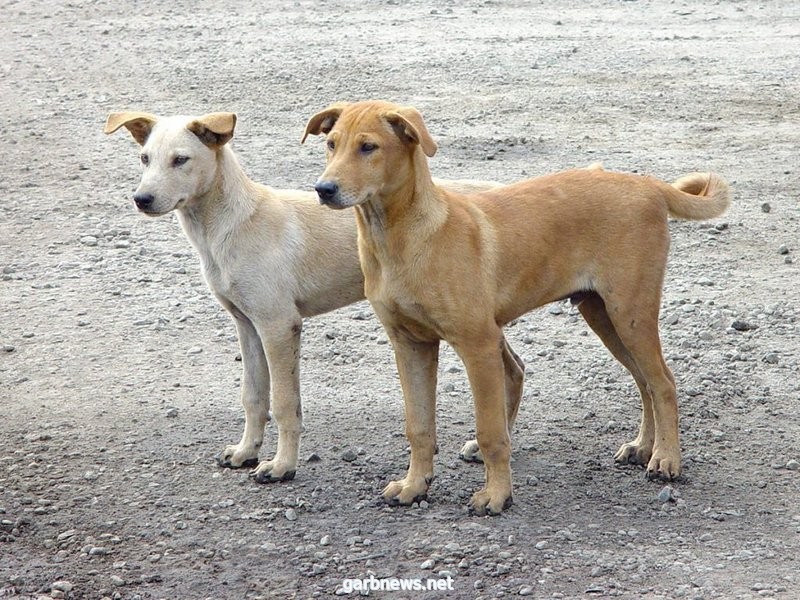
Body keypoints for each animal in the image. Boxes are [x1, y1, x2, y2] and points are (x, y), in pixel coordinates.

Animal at [104, 111, 504, 482]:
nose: (141, 199)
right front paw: (246, 451)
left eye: (181, 159)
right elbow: (253, 396)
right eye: (144, 158)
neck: (232, 224)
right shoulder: (247, 326)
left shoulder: (279, 326)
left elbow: (284, 404)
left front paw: (281, 466)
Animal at [304, 99, 728, 516]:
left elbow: (491, 431)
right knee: (644, 382)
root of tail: (648, 184)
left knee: (663, 382)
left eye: (368, 147)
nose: (323, 189)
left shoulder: (477, 345)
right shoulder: (409, 344)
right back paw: (643, 447)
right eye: (332, 144)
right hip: (603, 314)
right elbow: (419, 427)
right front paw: (414, 486)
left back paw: (666, 459)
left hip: (631, 312)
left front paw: (496, 496)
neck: (400, 237)